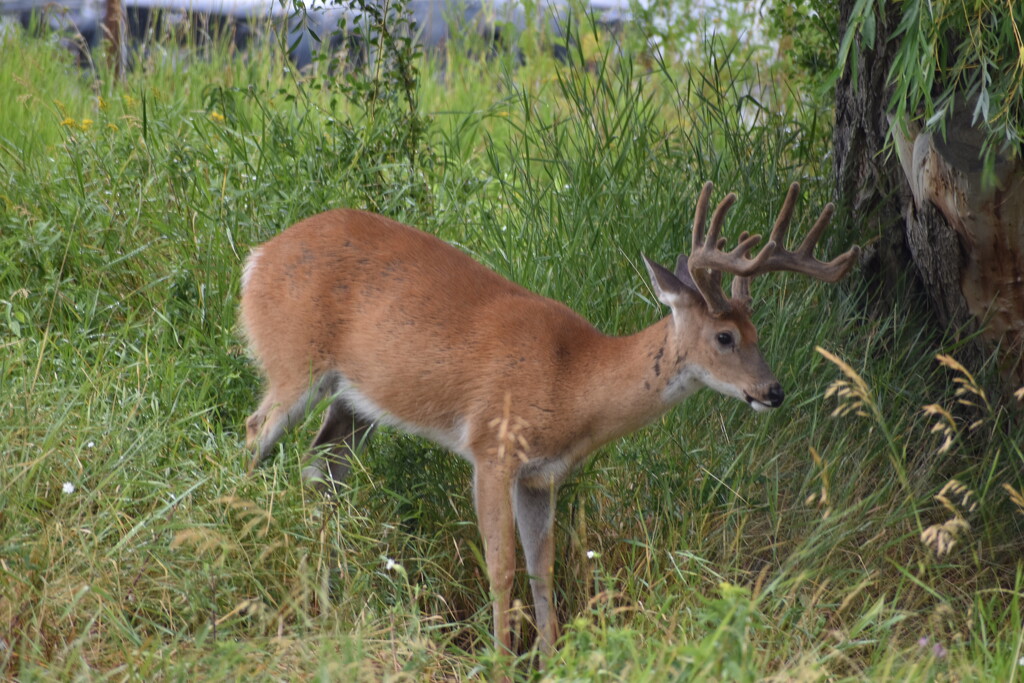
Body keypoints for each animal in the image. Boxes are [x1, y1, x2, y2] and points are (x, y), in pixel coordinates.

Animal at [237, 180, 856, 663]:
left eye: (758, 333)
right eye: (725, 336)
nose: (772, 392)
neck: (572, 381)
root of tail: (257, 257)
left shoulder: (540, 476)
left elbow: (543, 569)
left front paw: (552, 658)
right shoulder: (492, 447)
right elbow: (501, 568)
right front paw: (498, 662)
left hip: (356, 402)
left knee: (319, 469)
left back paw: (323, 592)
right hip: (292, 362)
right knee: (252, 435)